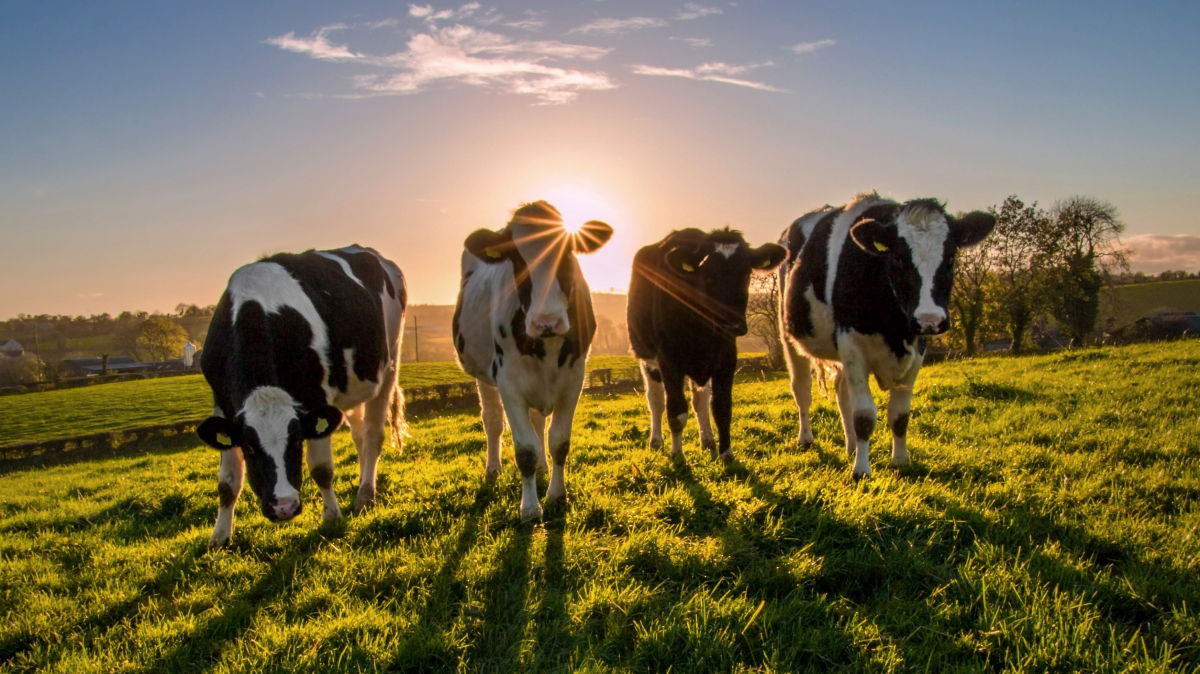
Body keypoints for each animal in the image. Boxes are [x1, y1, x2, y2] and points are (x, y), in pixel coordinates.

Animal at [194, 243, 405, 549]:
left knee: (374, 434)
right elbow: (227, 482)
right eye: (250, 448)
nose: (284, 507)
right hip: (352, 386)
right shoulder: (223, 405)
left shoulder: (316, 397)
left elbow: (321, 469)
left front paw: (332, 517)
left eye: (296, 442)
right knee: (360, 435)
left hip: (389, 363)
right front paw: (219, 536)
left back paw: (366, 494)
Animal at [453, 199, 614, 520]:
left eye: (568, 253)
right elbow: (525, 449)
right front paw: (529, 508)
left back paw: (542, 468)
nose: (546, 322)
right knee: (492, 422)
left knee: (539, 422)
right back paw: (493, 469)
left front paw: (557, 496)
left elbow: (559, 441)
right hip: (483, 375)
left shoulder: (574, 379)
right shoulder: (508, 382)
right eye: (517, 260)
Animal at [628, 225, 787, 460]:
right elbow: (676, 411)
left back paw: (708, 440)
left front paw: (726, 454)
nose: (732, 324)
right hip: (646, 357)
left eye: (745, 274)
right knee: (656, 401)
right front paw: (678, 456)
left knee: (700, 401)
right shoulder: (669, 360)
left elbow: (721, 408)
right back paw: (656, 441)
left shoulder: (726, 359)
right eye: (709, 275)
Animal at [777, 194, 993, 477]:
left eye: (950, 257)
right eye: (898, 258)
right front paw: (861, 470)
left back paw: (850, 446)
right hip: (790, 338)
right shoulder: (852, 344)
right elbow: (864, 415)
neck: (894, 329)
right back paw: (806, 439)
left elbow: (900, 415)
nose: (930, 319)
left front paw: (900, 460)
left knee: (842, 394)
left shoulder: (917, 350)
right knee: (802, 390)